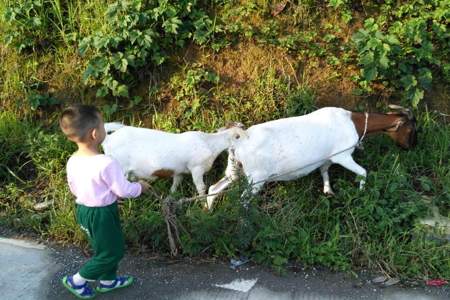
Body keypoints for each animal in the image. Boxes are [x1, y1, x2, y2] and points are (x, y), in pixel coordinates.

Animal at [101, 122, 244, 197]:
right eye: (241, 135)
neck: (209, 143)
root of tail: (108, 140)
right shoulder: (196, 168)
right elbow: (201, 188)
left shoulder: (179, 171)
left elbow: (176, 184)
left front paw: (172, 195)